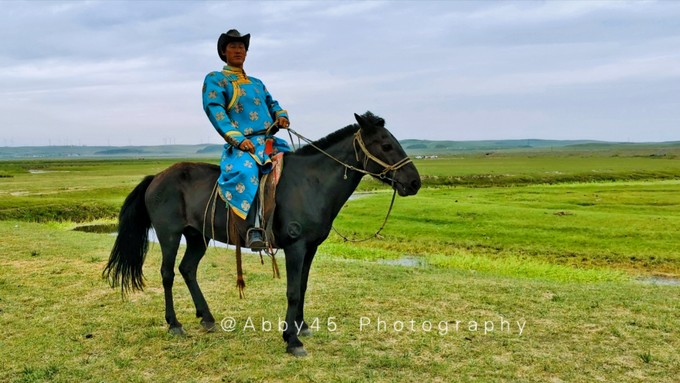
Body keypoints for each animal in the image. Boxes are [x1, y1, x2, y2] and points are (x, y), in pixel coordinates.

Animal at [103, 112, 420, 356]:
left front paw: (301, 327)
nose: (414, 182)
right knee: (168, 274)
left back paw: (207, 318)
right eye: (386, 145)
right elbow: (292, 291)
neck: (311, 183)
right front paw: (291, 340)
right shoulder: (295, 247)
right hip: (170, 236)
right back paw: (174, 324)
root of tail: (156, 178)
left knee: (187, 269)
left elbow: (303, 287)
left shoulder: (311, 248)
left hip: (197, 236)